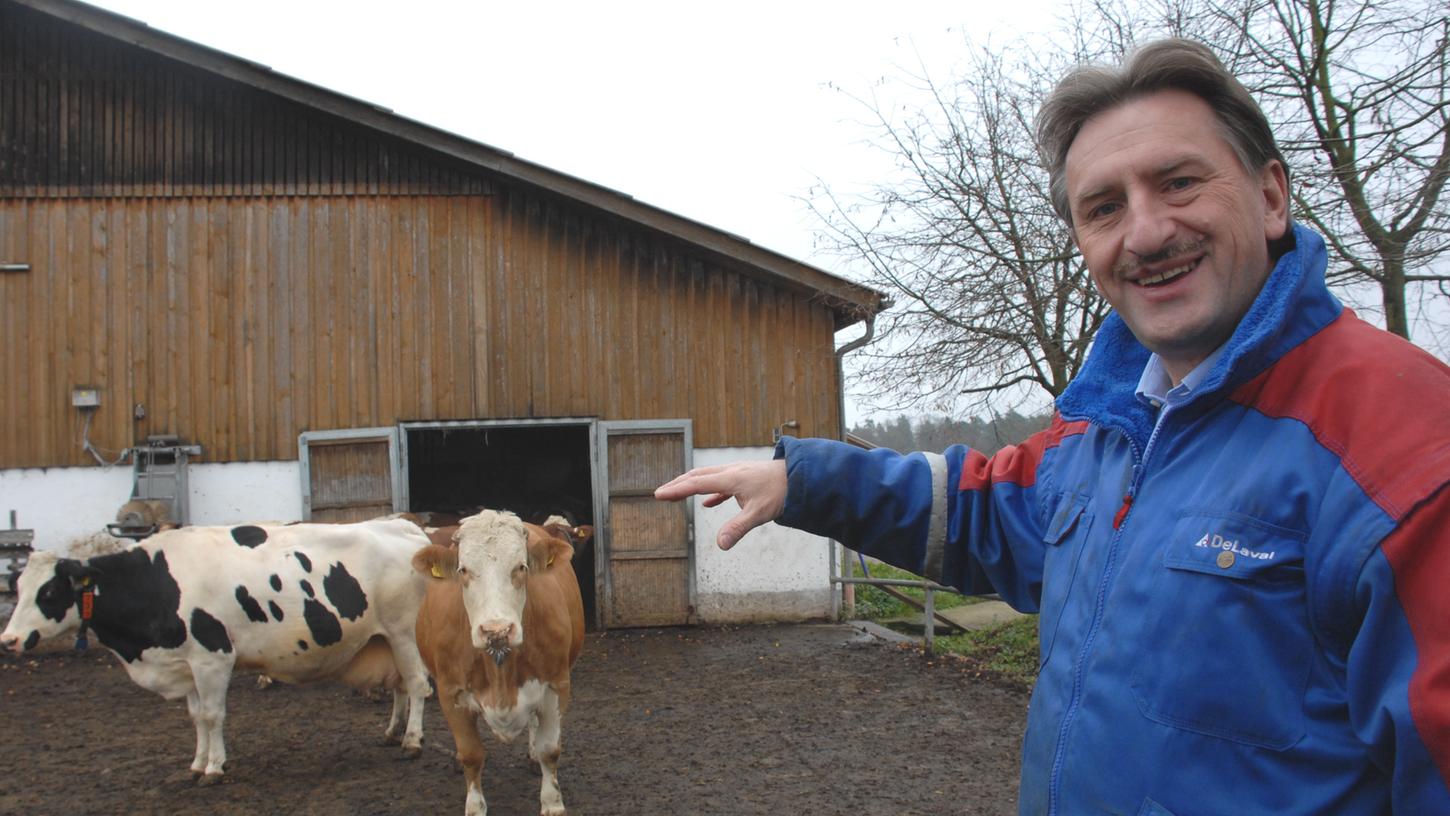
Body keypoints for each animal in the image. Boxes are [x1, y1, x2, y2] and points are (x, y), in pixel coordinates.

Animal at [0, 521, 432, 782]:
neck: (158, 582)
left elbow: (212, 715)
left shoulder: (213, 658)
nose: (9, 640)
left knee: (417, 684)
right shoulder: (186, 662)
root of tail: (401, 525)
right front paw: (196, 763)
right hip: (384, 639)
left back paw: (412, 741)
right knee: (400, 685)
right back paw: (393, 731)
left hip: (403, 632)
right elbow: (196, 718)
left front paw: (214, 767)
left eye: (49, 592)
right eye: (18, 588)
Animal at [411, 510, 585, 816]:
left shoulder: (556, 685)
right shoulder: (451, 692)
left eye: (521, 567)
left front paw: (552, 803)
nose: (497, 630)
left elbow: (549, 749)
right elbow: (471, 754)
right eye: (463, 570)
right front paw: (475, 806)